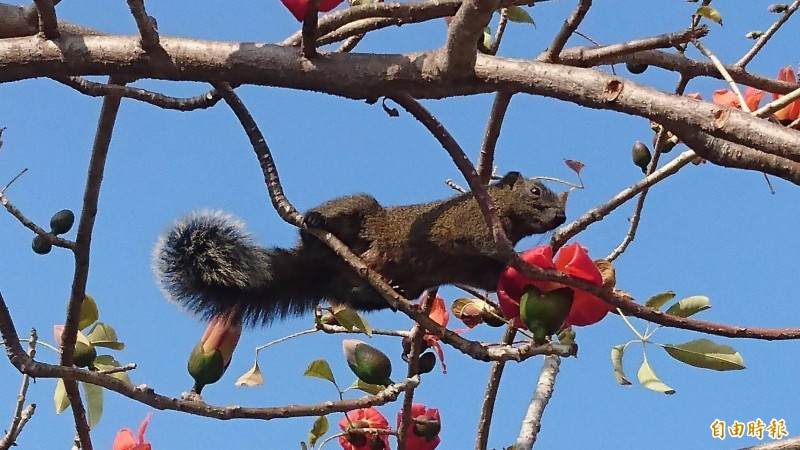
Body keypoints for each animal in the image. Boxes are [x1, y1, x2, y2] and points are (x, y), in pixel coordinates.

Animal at [153, 171, 564, 324]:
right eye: (535, 191)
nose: (561, 215)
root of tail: (319, 267)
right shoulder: (471, 224)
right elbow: (486, 245)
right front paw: (528, 260)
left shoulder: (476, 268)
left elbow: (489, 276)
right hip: (358, 211)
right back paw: (314, 223)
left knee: (354, 294)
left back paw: (384, 291)